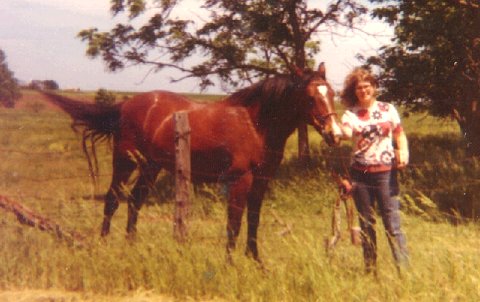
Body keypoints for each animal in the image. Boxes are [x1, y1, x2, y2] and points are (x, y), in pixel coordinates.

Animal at [42, 63, 342, 260]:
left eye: (332, 94)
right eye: (311, 97)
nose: (335, 134)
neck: (255, 123)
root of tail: (126, 105)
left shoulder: (262, 180)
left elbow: (253, 220)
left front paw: (255, 260)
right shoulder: (239, 179)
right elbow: (234, 222)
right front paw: (230, 263)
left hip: (151, 166)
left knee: (135, 201)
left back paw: (132, 244)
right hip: (125, 163)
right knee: (113, 200)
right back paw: (105, 244)